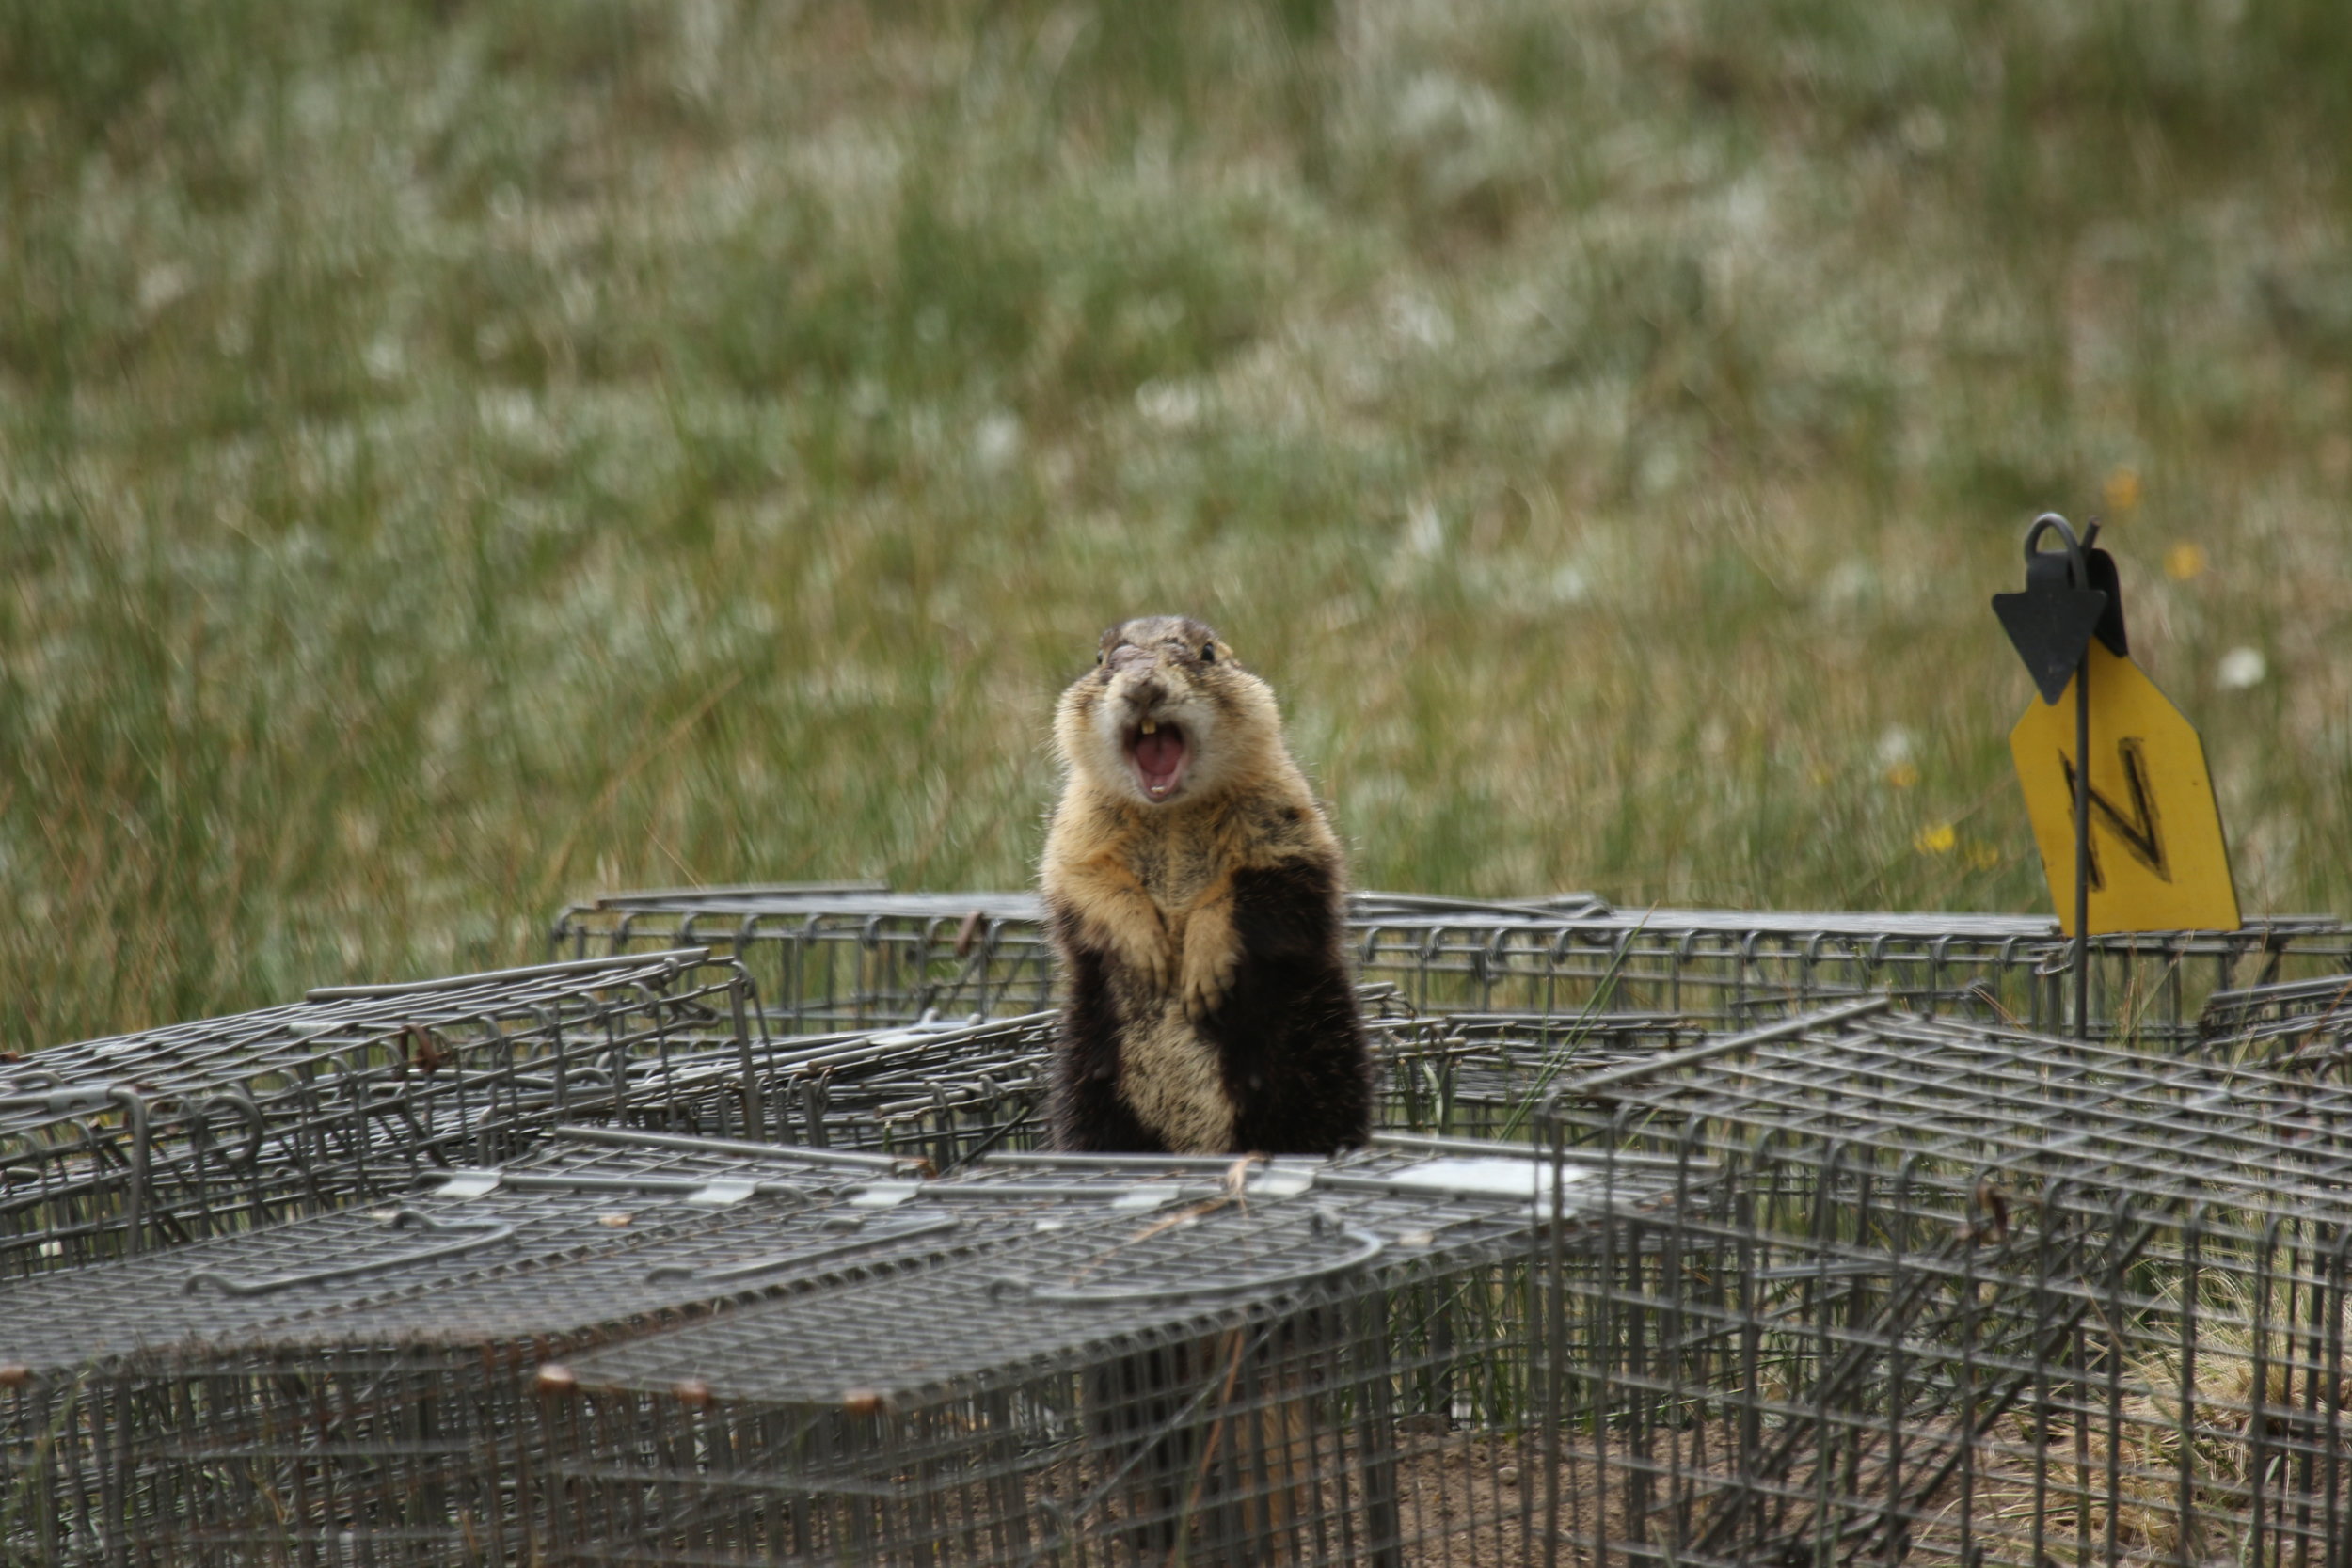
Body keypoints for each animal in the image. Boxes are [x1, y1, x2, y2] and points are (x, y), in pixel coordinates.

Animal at [1040, 610, 1374, 1151]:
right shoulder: (1075, 829)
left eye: (1208, 653)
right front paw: (1147, 951)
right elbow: (1084, 880)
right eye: (1102, 658)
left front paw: (1201, 967)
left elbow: (1258, 890)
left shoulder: (1286, 824)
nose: (1143, 684)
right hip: (1084, 1082)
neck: (1172, 813)